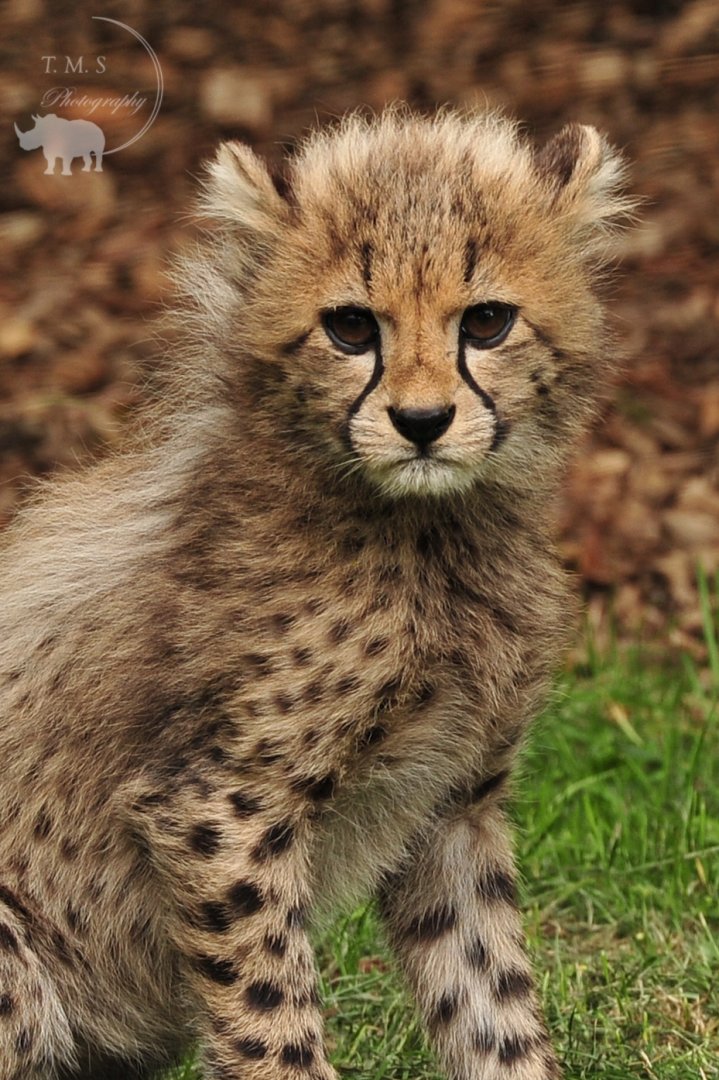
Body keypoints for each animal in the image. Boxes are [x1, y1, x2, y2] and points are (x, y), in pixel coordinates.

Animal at [0, 107, 632, 1080]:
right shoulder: (217, 807)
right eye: (349, 328)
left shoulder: (452, 806)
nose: (421, 422)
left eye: (487, 323)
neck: (427, 539)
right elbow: (271, 1015)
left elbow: (490, 999)